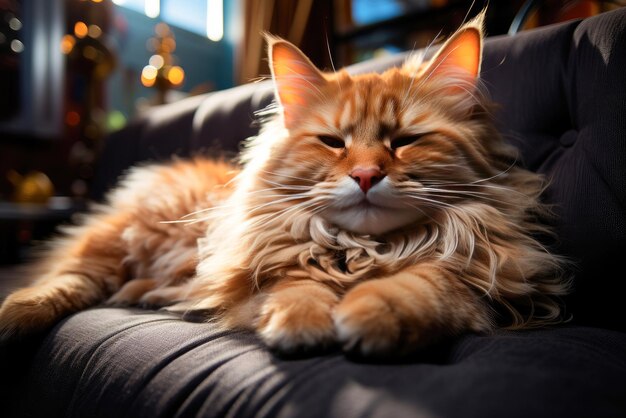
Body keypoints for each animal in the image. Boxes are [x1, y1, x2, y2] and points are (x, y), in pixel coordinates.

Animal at [0, 15, 568, 356]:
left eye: (406, 141)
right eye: (332, 143)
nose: (366, 175)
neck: (362, 249)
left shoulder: (476, 286)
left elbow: (420, 284)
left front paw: (371, 315)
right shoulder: (263, 272)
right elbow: (298, 287)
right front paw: (303, 325)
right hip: (120, 239)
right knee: (68, 276)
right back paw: (16, 314)